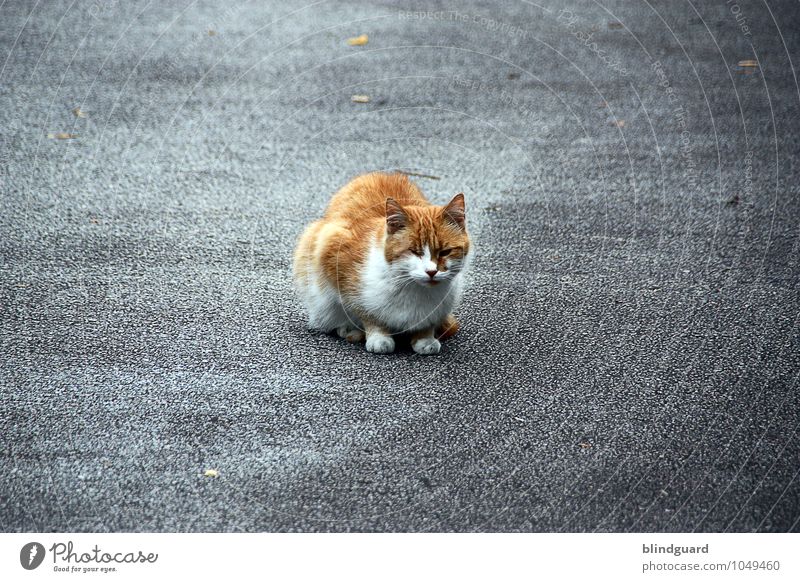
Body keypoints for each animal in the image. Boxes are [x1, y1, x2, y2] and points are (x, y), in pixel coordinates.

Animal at [292, 171, 468, 356]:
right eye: (414, 251)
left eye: (445, 252)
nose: (432, 271)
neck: (412, 288)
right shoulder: (333, 255)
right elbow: (366, 312)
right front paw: (378, 337)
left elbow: (428, 322)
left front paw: (425, 337)